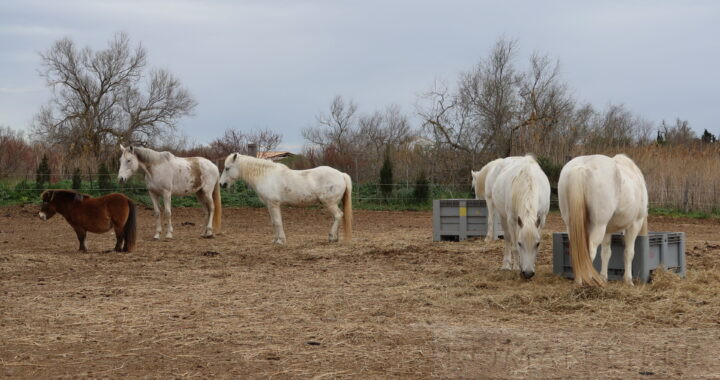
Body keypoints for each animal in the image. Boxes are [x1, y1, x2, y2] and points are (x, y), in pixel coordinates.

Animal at [219, 154, 354, 245]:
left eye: (227, 168)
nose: (222, 184)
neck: (266, 175)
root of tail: (341, 174)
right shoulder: (269, 205)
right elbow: (274, 222)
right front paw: (275, 240)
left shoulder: (273, 204)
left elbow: (278, 222)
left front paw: (280, 241)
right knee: (337, 217)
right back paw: (335, 238)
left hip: (329, 203)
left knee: (338, 215)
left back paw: (331, 237)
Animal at [556, 154, 648, 284]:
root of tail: (581, 168)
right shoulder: (635, 224)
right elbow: (629, 253)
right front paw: (628, 280)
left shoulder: (607, 230)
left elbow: (606, 253)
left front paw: (604, 277)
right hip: (599, 226)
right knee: (590, 251)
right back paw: (589, 280)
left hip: (571, 226)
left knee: (577, 250)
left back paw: (579, 280)